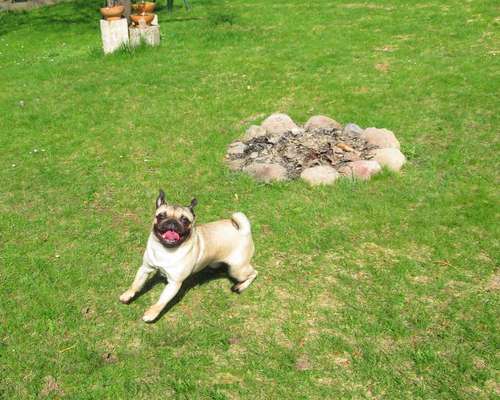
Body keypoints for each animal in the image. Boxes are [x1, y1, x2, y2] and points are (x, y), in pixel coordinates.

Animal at [120, 190, 258, 322]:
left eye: (184, 220)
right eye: (161, 216)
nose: (172, 222)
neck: (165, 249)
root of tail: (244, 231)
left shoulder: (174, 284)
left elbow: (162, 301)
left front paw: (151, 313)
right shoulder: (145, 269)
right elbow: (136, 284)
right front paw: (127, 294)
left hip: (237, 269)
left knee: (254, 273)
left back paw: (240, 287)